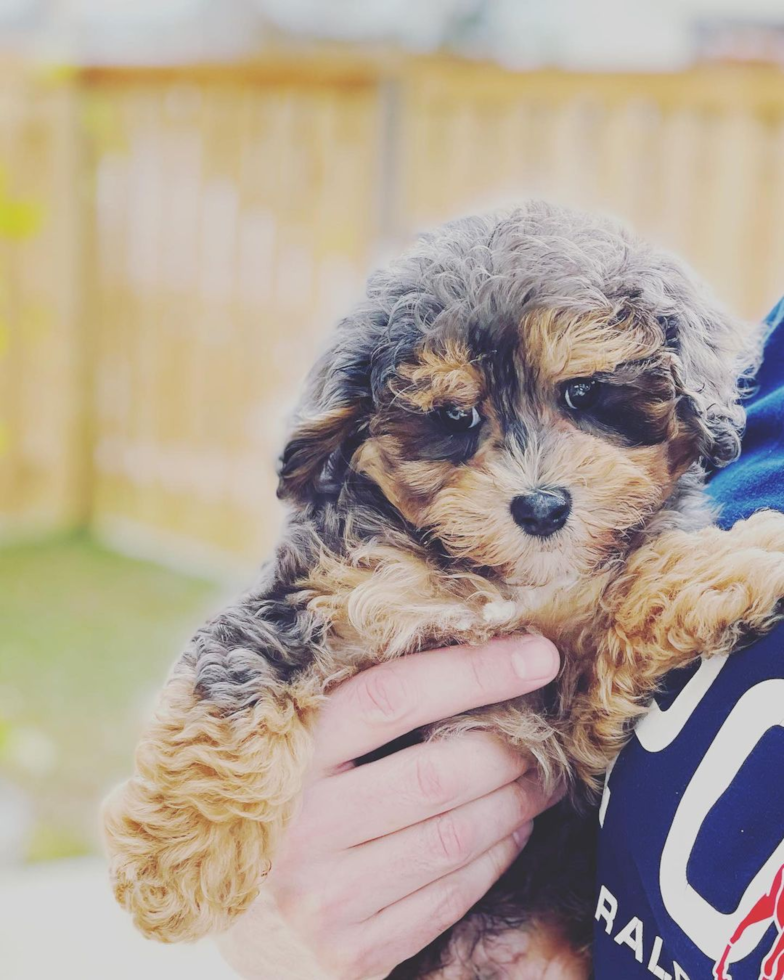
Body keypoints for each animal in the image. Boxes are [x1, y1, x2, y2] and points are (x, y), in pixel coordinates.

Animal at [101, 203, 784, 976]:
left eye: (582, 392)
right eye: (456, 417)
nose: (541, 508)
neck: (497, 578)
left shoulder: (570, 727)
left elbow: (625, 598)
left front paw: (739, 556)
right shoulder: (304, 597)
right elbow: (227, 699)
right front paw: (177, 869)